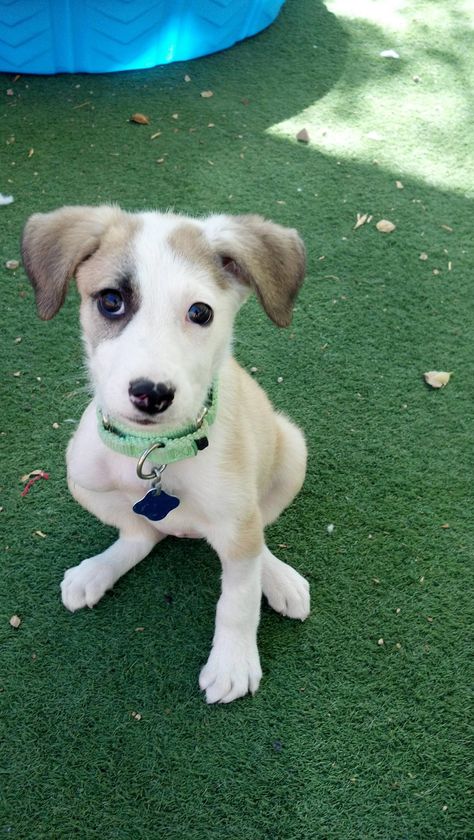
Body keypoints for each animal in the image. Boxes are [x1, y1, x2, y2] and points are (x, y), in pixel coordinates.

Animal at [22, 205, 310, 704]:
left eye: (200, 312)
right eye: (110, 300)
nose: (151, 394)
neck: (156, 453)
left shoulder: (238, 521)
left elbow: (237, 599)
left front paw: (232, 662)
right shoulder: (83, 474)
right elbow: (138, 528)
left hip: (290, 450)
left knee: (259, 538)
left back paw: (278, 578)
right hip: (82, 480)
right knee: (143, 534)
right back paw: (98, 570)